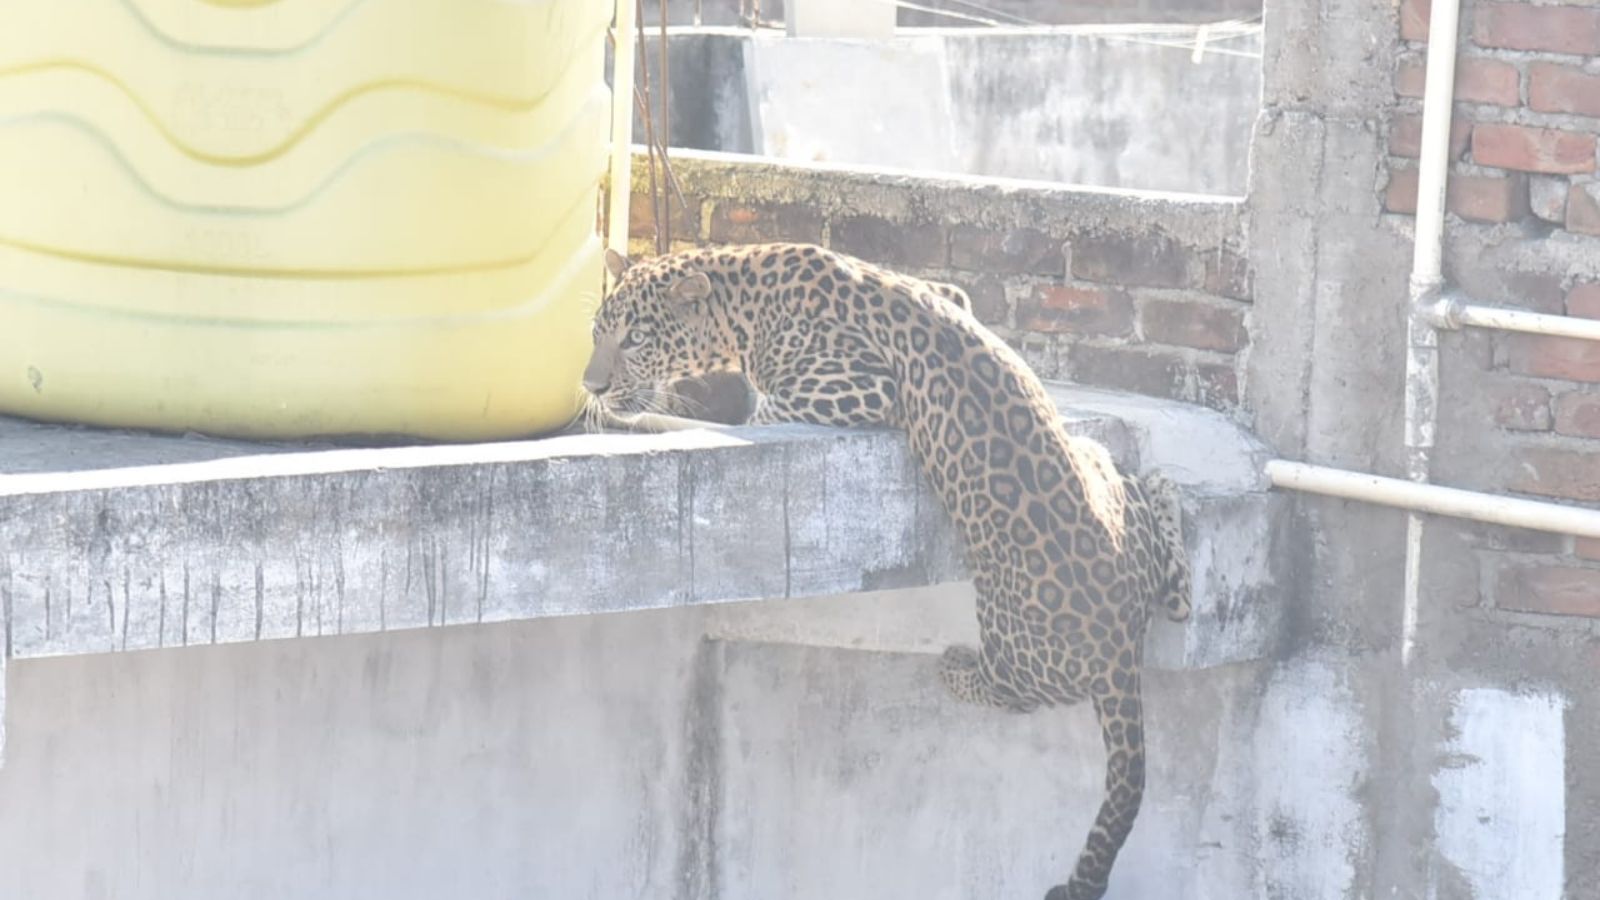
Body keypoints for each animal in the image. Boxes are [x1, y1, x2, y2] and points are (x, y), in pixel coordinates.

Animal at [584, 241, 1192, 900]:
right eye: (596, 331)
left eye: (636, 338)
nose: (590, 384)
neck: (746, 300)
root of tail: (1120, 654)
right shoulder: (953, 295)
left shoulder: (854, 390)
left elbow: (737, 416)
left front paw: (652, 418)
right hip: (1110, 483)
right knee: (1176, 587)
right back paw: (1162, 488)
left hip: (1008, 630)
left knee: (1011, 692)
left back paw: (955, 667)